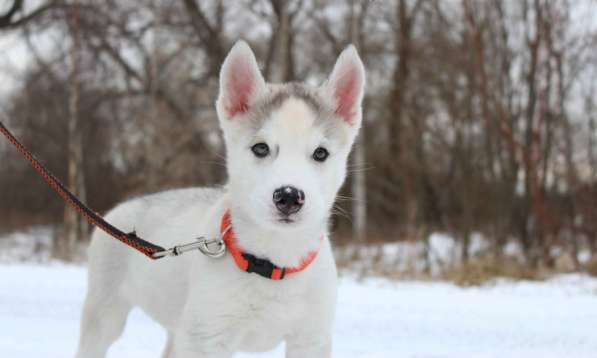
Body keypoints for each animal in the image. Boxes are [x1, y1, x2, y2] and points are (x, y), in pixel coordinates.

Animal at [74, 40, 364, 356]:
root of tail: (124, 208)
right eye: (261, 148)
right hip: (106, 315)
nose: (288, 196)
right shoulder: (207, 339)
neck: (273, 261)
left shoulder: (311, 339)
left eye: (321, 153)